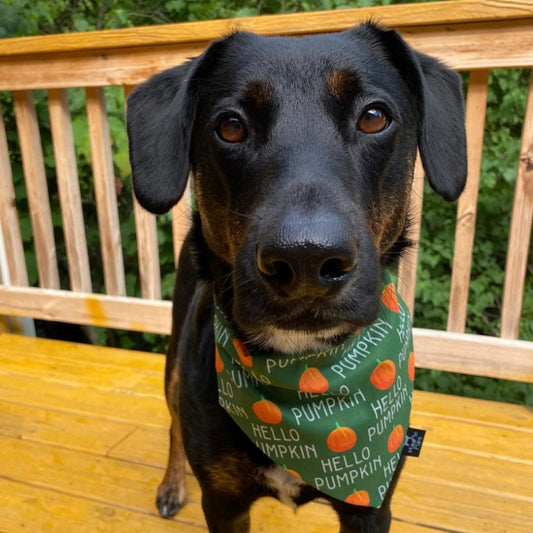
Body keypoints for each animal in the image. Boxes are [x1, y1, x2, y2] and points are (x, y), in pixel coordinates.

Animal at [127, 23, 464, 532]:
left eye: (374, 117)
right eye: (230, 126)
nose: (306, 259)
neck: (305, 375)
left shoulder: (371, 506)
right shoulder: (222, 501)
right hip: (175, 355)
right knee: (173, 422)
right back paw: (171, 484)